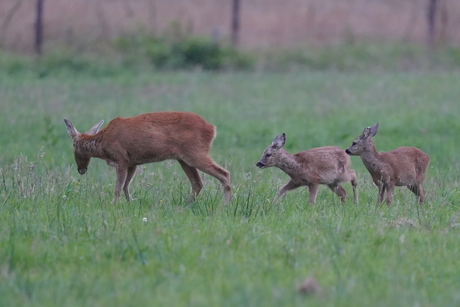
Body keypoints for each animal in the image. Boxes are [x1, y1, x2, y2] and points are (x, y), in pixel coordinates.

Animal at [63, 112, 232, 203]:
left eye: (74, 147)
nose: (81, 169)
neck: (103, 142)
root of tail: (212, 128)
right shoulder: (132, 162)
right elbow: (126, 186)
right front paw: (129, 204)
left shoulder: (121, 159)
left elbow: (118, 187)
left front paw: (113, 204)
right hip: (183, 159)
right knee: (198, 183)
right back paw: (186, 204)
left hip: (194, 153)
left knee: (224, 173)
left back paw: (225, 205)